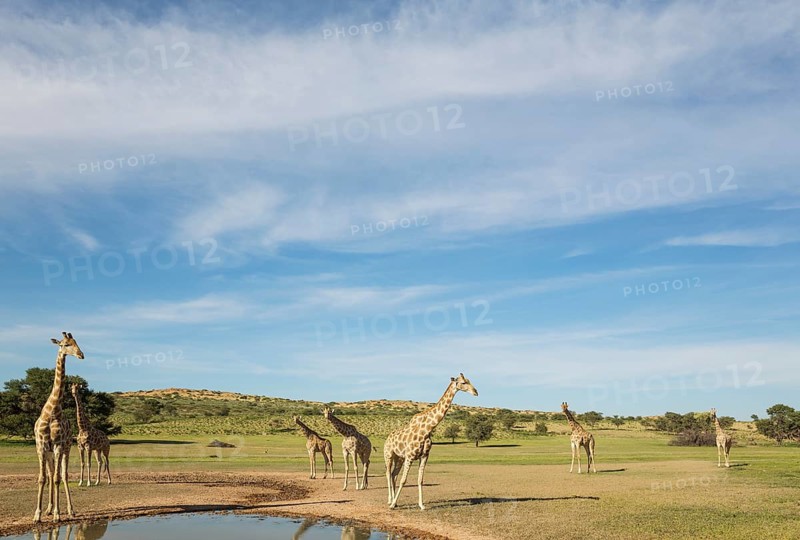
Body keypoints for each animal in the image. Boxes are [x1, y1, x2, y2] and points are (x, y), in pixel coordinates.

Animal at [33, 332, 83, 523]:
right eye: (65, 344)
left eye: (76, 342)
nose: (81, 355)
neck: (52, 411)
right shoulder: (41, 446)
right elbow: (42, 478)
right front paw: (38, 514)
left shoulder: (58, 445)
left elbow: (57, 477)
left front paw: (57, 514)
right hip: (48, 452)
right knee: (50, 474)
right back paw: (49, 508)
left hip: (67, 448)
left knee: (63, 474)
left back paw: (69, 510)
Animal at [384, 373, 478, 510]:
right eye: (463, 382)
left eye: (469, 380)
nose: (476, 392)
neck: (428, 429)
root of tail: (387, 438)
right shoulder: (410, 456)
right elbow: (404, 480)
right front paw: (392, 505)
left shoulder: (424, 456)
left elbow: (420, 480)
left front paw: (421, 505)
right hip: (389, 455)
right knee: (388, 473)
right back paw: (390, 501)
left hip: (399, 457)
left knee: (393, 475)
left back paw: (395, 502)